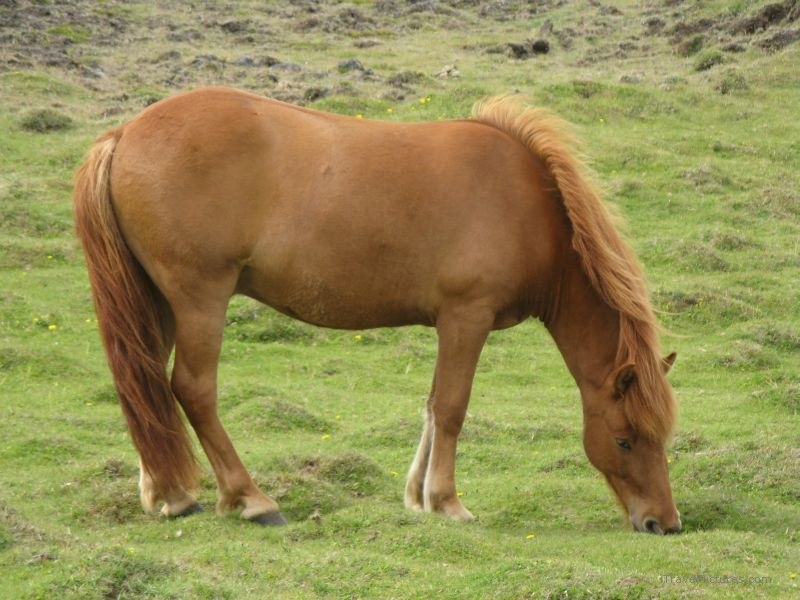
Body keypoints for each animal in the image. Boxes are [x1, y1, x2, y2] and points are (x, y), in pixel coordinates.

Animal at [73, 88, 681, 534]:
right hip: (200, 299)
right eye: (625, 439)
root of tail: (123, 135)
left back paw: (169, 494)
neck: (525, 200)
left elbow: (432, 406)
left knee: (147, 385)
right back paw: (250, 499)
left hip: (159, 302)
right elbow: (453, 408)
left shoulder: (449, 323)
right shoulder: (467, 316)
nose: (664, 523)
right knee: (193, 390)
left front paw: (417, 496)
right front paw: (447, 502)